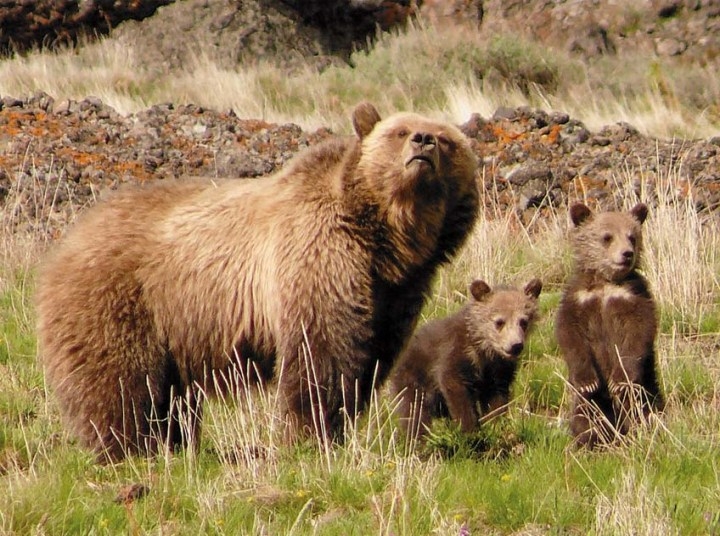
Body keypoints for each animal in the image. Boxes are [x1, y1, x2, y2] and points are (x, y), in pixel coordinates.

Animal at [35, 101, 480, 461]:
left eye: (446, 140)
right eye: (399, 131)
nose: (424, 141)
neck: (384, 238)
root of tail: (68, 240)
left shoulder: (396, 291)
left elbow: (370, 356)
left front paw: (338, 424)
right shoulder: (318, 257)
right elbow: (321, 355)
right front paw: (309, 434)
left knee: (171, 395)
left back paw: (173, 444)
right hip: (121, 297)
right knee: (121, 380)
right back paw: (129, 447)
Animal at [388, 278, 542, 438]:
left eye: (523, 321)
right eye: (499, 322)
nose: (515, 345)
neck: (483, 348)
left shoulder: (497, 370)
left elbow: (496, 398)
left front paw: (494, 424)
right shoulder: (454, 354)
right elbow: (455, 388)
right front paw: (470, 430)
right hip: (414, 378)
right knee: (414, 412)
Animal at [555, 202, 664, 448]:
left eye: (632, 236)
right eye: (607, 237)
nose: (627, 254)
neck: (606, 283)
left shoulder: (633, 296)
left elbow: (638, 334)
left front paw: (620, 380)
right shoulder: (578, 299)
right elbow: (570, 336)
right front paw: (587, 381)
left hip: (648, 385)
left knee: (639, 406)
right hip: (586, 402)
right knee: (586, 411)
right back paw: (588, 439)